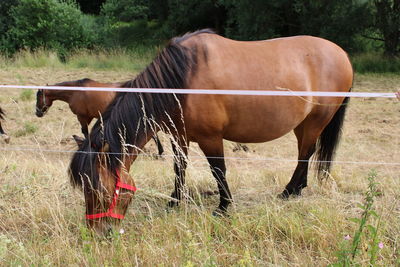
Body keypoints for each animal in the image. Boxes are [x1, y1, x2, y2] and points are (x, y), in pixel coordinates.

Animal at [69, 28, 354, 234]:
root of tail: (342, 54)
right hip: (302, 124)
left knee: (306, 152)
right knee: (304, 153)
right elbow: (179, 168)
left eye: (99, 189)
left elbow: (218, 170)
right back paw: (296, 188)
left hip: (316, 121)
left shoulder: (211, 138)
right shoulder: (179, 136)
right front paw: (175, 201)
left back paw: (289, 190)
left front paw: (224, 207)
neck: (183, 78)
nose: (96, 231)